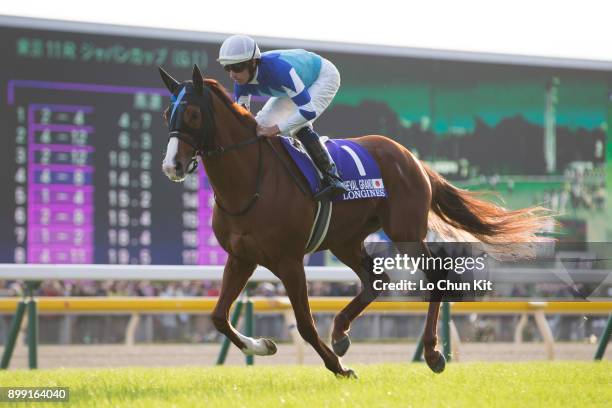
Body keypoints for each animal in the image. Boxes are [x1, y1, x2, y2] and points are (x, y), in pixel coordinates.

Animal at [158, 65, 548, 378]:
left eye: (192, 114)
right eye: (166, 114)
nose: (172, 165)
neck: (251, 181)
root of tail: (412, 159)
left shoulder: (289, 260)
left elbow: (304, 324)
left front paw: (339, 368)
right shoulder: (242, 257)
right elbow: (218, 316)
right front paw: (264, 346)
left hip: (404, 231)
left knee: (435, 276)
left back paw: (432, 352)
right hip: (344, 240)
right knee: (377, 280)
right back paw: (342, 332)